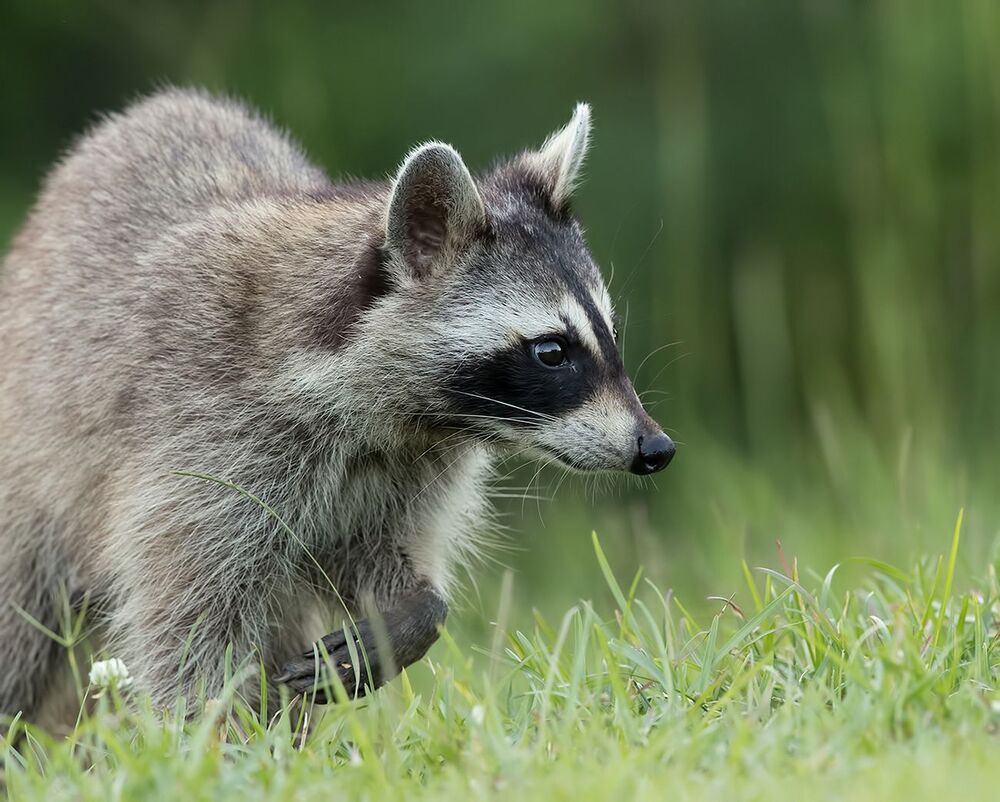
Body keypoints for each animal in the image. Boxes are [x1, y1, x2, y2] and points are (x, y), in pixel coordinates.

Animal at [0, 89, 674, 726]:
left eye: (610, 334)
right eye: (552, 351)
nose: (656, 447)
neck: (402, 420)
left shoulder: (404, 470)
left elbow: (378, 557)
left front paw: (407, 616)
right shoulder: (206, 436)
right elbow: (187, 619)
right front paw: (207, 739)